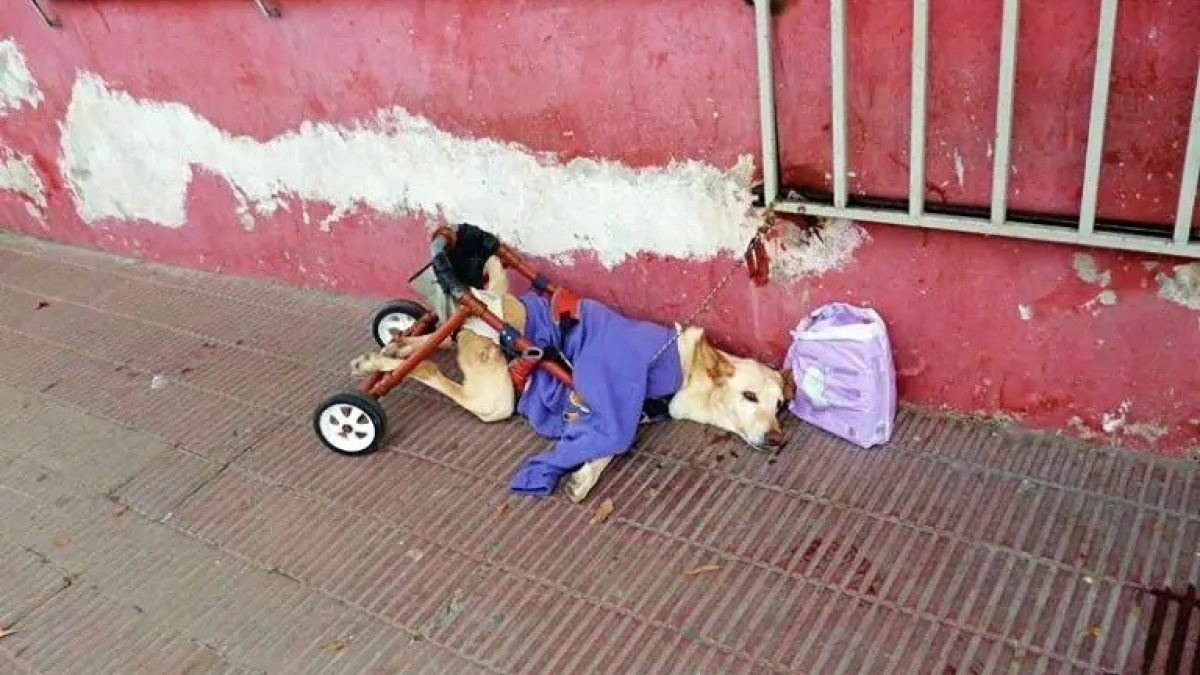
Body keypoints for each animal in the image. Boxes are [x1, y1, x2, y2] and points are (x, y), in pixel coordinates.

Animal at [350, 254, 796, 502]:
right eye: (749, 396)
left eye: (780, 406)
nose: (779, 440)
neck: (686, 369)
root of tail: (484, 304)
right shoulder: (611, 393)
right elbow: (612, 439)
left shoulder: (616, 413)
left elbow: (606, 445)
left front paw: (583, 475)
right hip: (494, 400)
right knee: (430, 368)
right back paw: (379, 371)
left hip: (465, 349)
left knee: (430, 339)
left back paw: (390, 347)